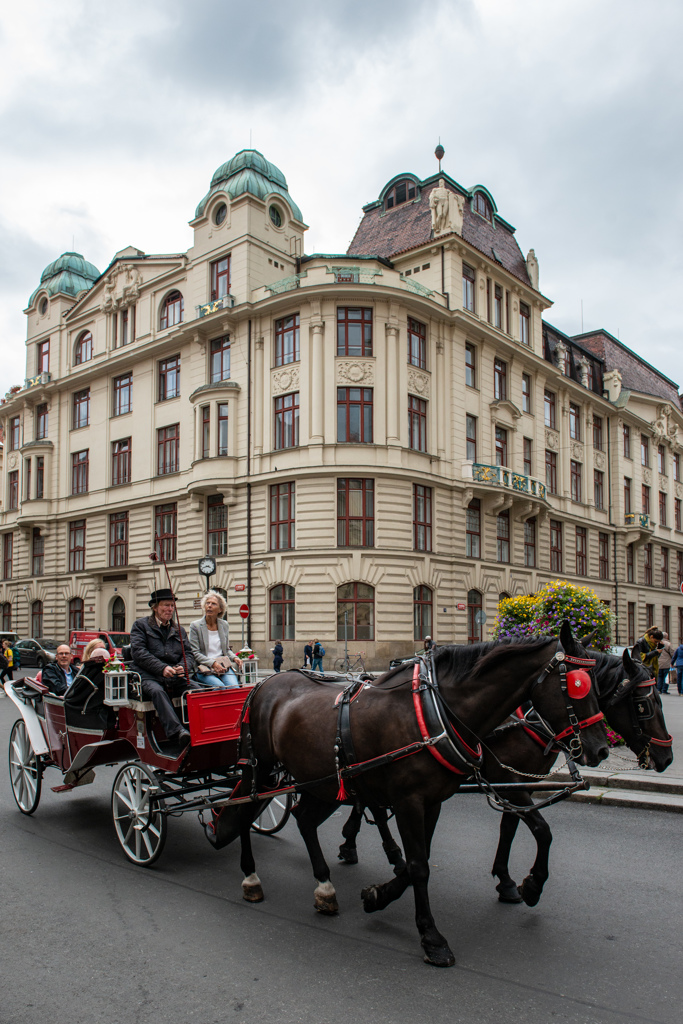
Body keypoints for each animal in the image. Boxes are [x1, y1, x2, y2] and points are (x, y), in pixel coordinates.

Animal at [211, 622, 610, 966]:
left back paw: (325, 887)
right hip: (261, 768)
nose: (601, 749)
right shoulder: (409, 801)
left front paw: (378, 895)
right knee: (244, 811)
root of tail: (264, 684)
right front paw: (432, 937)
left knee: (303, 820)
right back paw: (251, 877)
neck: (434, 713)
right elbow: (419, 866)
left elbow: (423, 859)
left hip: (321, 781)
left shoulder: (433, 802)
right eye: (576, 684)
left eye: (597, 683)